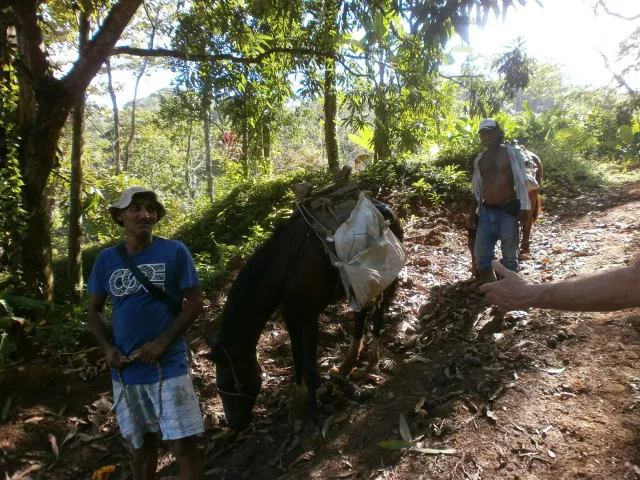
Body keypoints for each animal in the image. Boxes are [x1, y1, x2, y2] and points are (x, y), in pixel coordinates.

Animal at [208, 201, 402, 430]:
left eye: (232, 380)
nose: (235, 424)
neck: (284, 272)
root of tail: (388, 209)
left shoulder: (310, 317)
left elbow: (310, 368)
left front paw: (315, 415)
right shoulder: (290, 317)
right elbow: (297, 359)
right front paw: (297, 406)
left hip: (384, 281)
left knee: (378, 314)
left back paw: (371, 361)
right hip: (355, 288)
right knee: (360, 314)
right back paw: (348, 363)